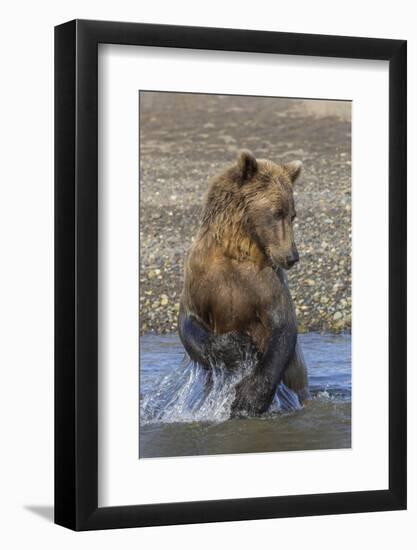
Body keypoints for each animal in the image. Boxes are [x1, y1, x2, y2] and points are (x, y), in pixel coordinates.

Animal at [177, 149, 308, 416]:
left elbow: (282, 327)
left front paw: (248, 398)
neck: (236, 248)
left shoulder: (266, 283)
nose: (292, 256)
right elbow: (190, 324)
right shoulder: (201, 277)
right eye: (277, 212)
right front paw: (237, 348)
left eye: (293, 214)